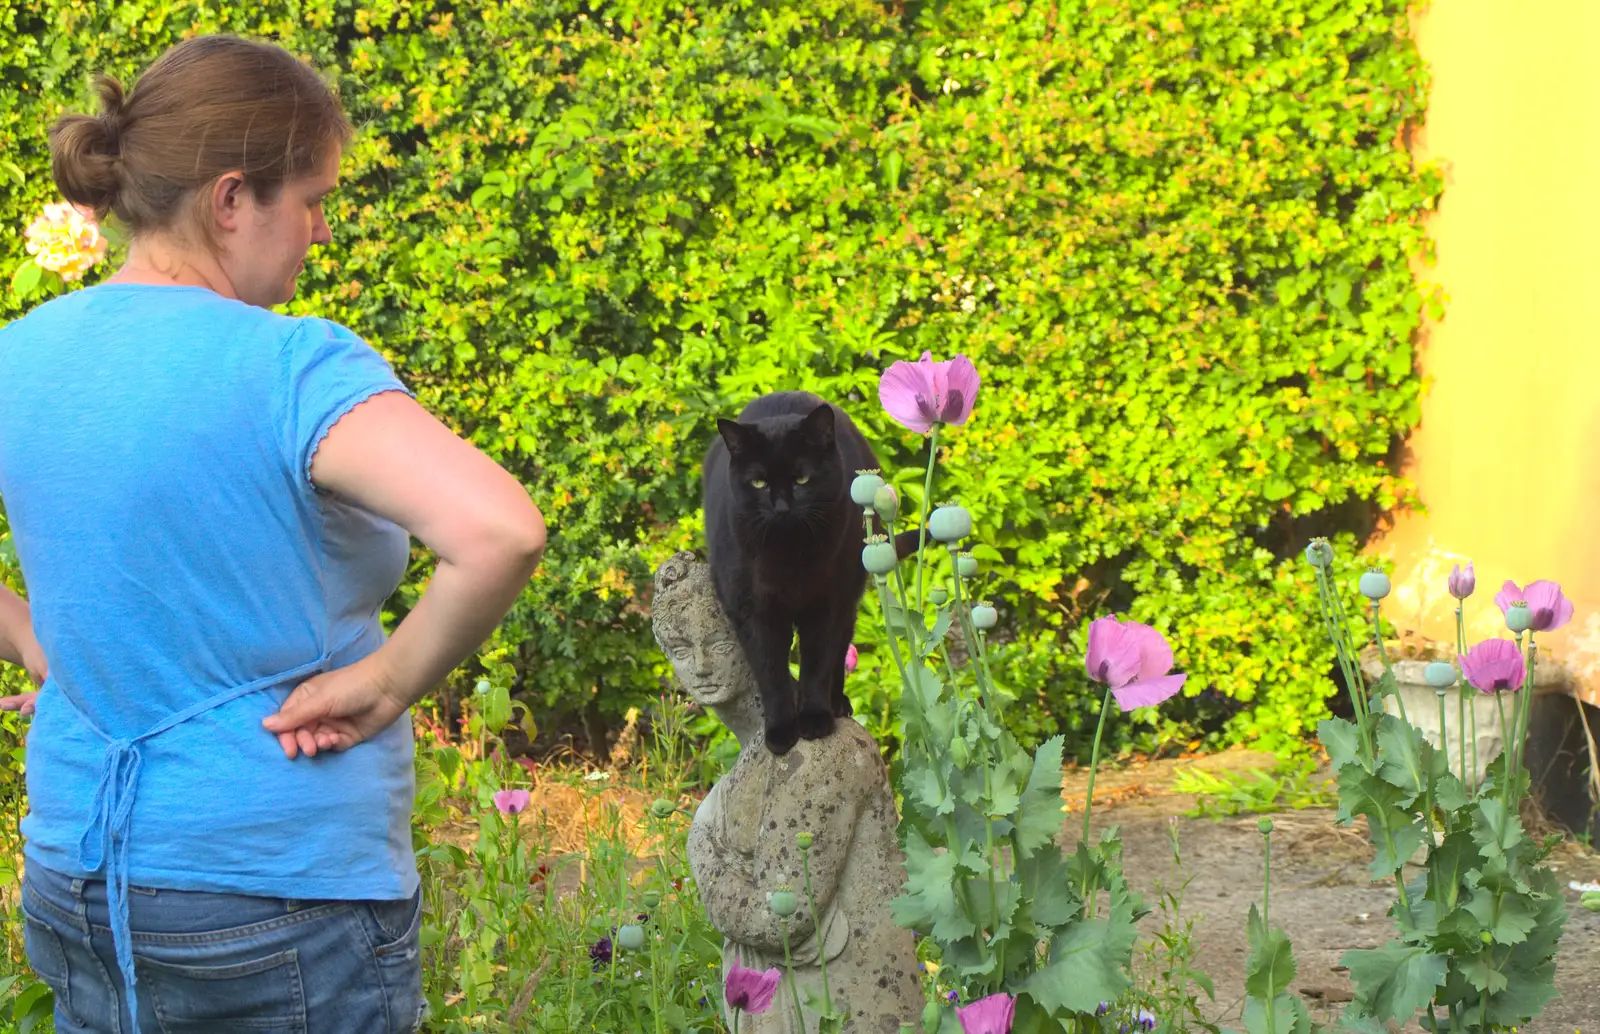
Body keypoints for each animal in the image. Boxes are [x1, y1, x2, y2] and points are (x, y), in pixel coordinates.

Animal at [700, 393, 915, 758]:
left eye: (802, 479)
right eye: (759, 482)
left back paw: (837, 703)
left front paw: (815, 719)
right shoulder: (752, 613)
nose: (782, 507)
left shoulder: (827, 604)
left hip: (850, 593)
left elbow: (818, 661)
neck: (788, 556)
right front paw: (781, 731)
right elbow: (770, 671)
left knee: (839, 650)